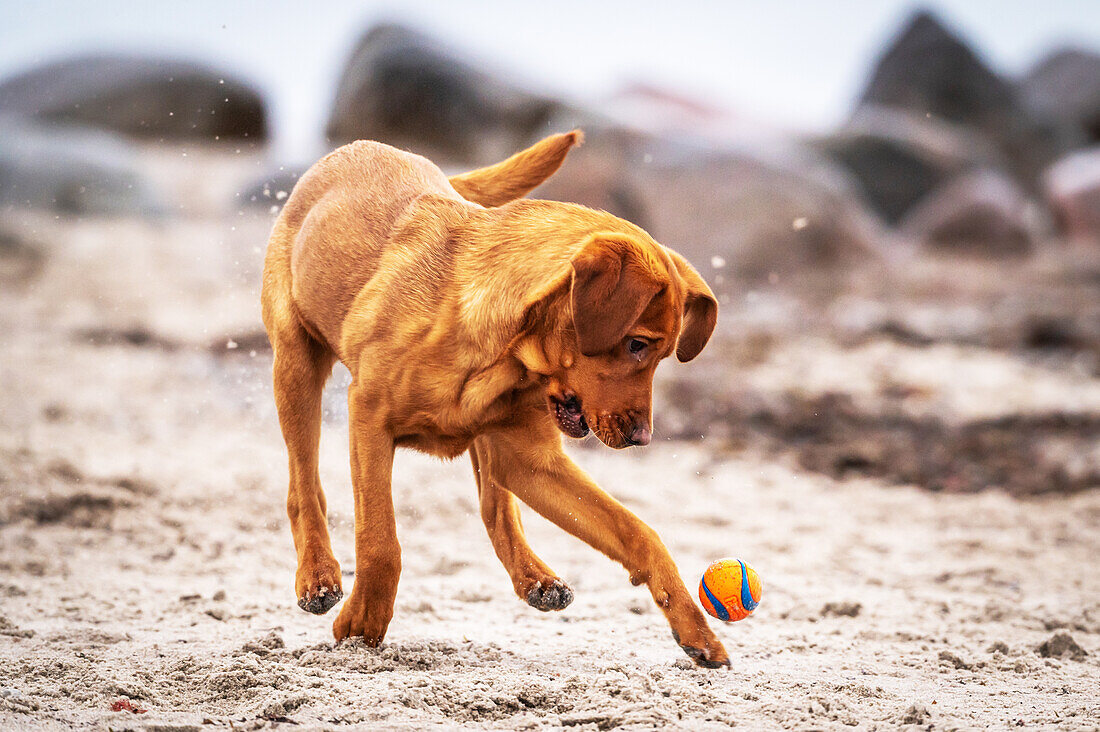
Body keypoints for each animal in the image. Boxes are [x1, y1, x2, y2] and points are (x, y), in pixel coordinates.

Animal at [261, 128, 730, 664]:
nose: (642, 438)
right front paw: (362, 626)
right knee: (304, 485)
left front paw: (696, 631)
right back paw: (318, 577)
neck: (505, 355)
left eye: (662, 354)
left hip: (489, 444)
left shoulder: (530, 460)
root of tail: (358, 147)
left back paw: (535, 578)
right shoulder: (368, 419)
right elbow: (381, 542)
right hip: (295, 365)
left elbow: (639, 533)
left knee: (494, 506)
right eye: (636, 344)